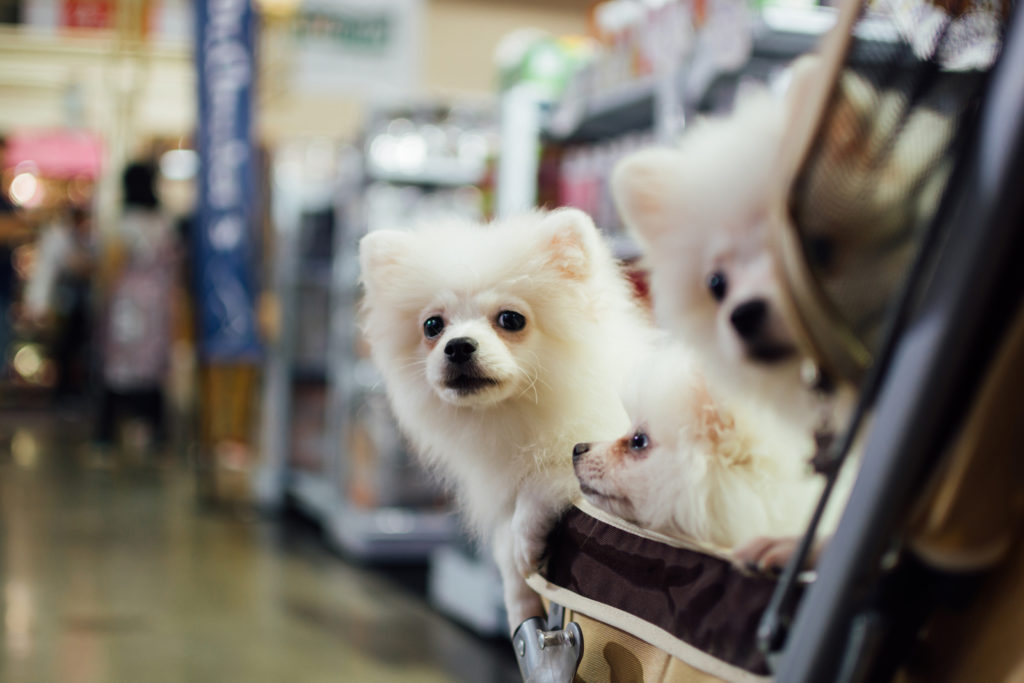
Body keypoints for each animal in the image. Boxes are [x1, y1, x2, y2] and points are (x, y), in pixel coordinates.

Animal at [356, 206, 651, 630]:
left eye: (511, 320)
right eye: (432, 325)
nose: (458, 346)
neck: (515, 413)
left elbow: (546, 479)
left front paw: (525, 542)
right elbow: (505, 555)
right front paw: (519, 600)